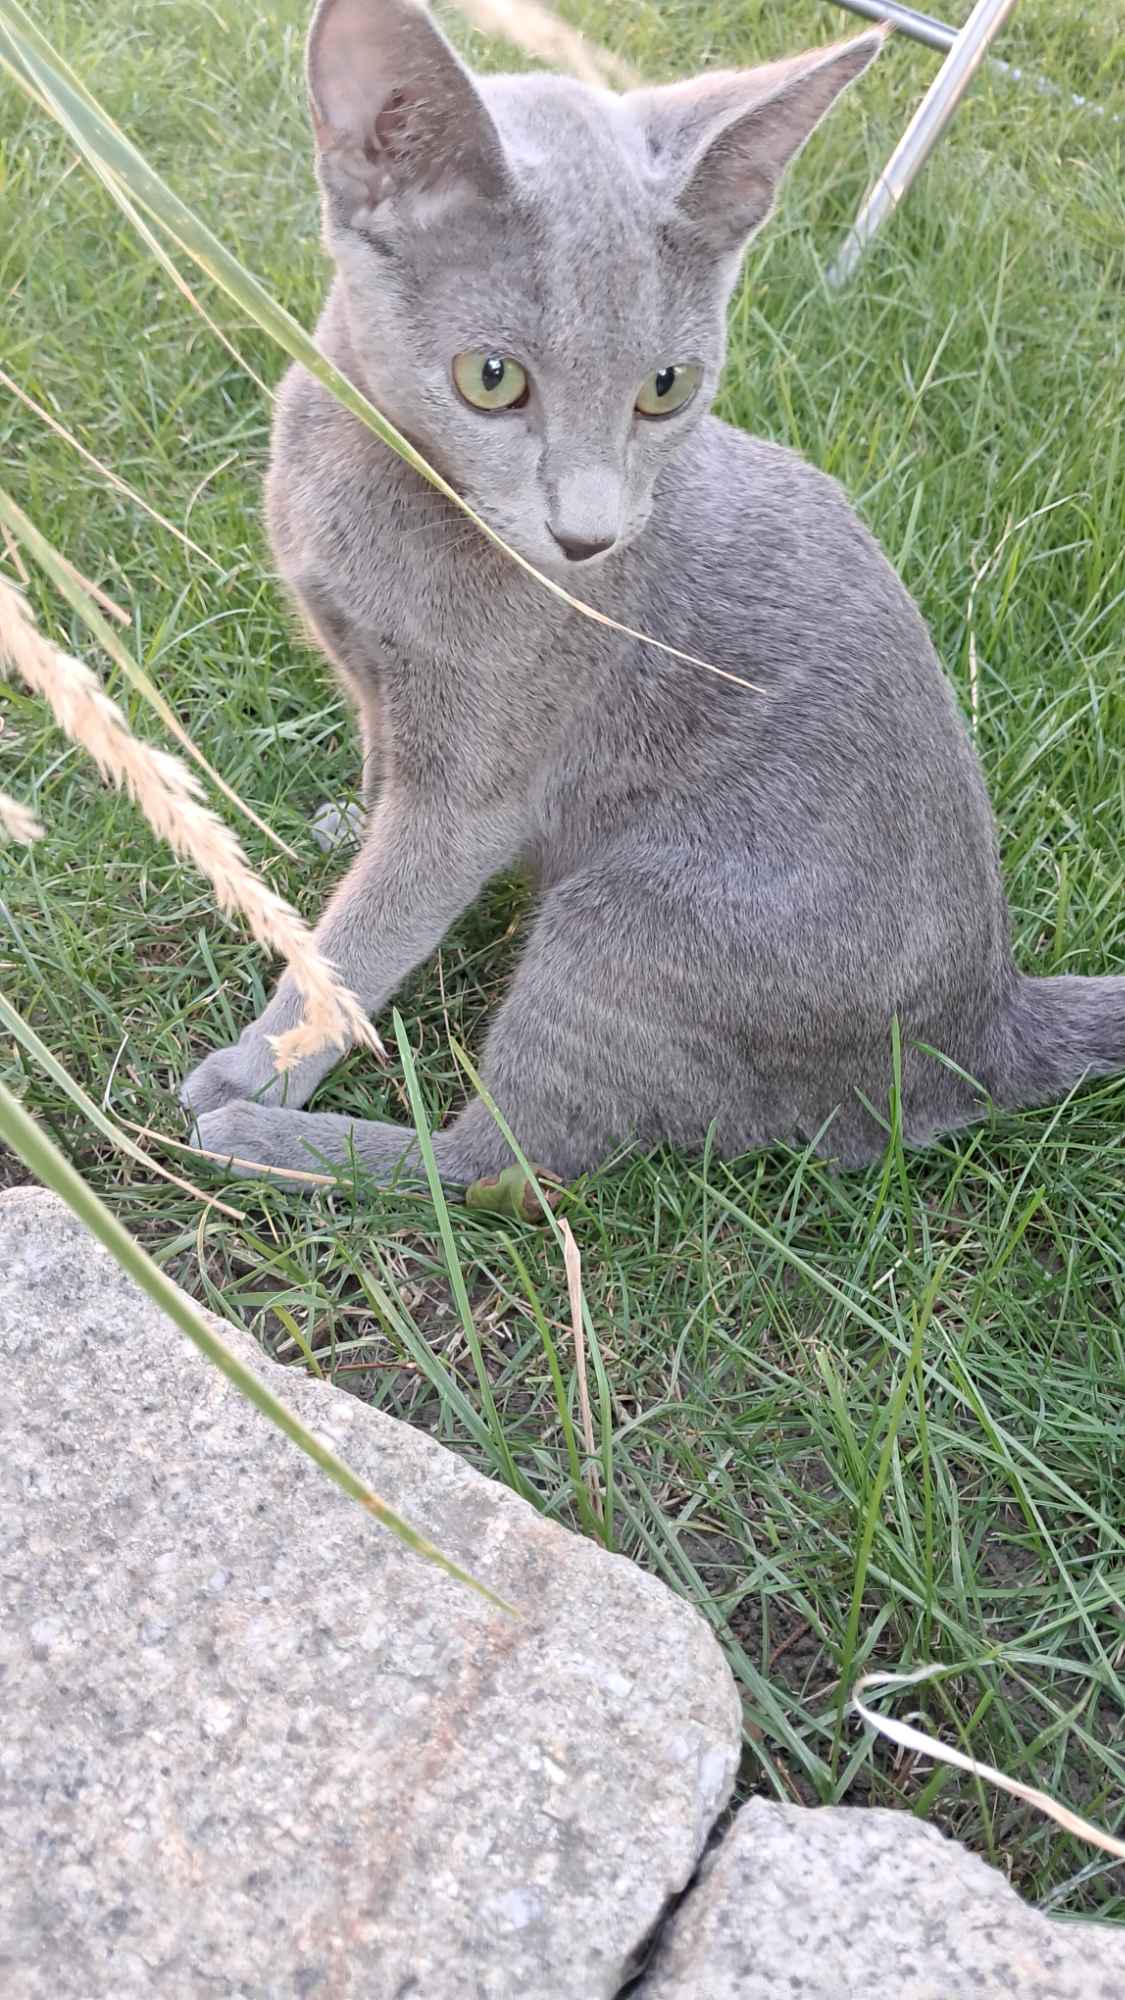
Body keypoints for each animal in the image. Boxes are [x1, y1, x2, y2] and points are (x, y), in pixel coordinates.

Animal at [179, 0, 1112, 1184]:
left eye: (665, 389)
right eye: (492, 378)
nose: (587, 537)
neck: (379, 486)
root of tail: (985, 1020)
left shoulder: (473, 787)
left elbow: (372, 930)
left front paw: (263, 1057)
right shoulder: (376, 679)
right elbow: (380, 771)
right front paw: (341, 825)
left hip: (629, 927)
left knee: (505, 1163)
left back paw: (268, 1139)